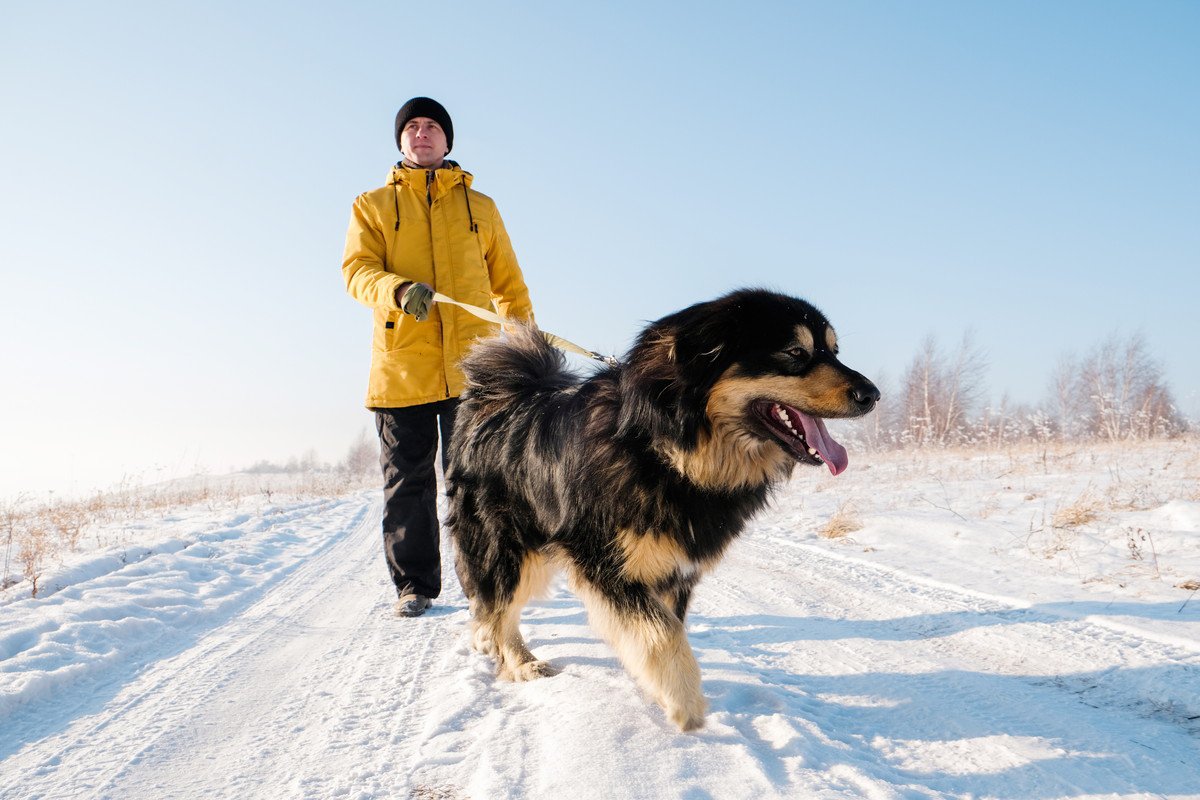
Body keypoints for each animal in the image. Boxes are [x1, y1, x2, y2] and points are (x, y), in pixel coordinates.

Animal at [446, 289, 878, 734]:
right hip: (505, 545)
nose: (872, 395)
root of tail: (502, 396)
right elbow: (661, 632)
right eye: (795, 352)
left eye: (834, 351)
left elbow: (666, 628)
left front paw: (660, 687)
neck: (668, 451)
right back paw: (519, 660)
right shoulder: (605, 562)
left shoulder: (676, 568)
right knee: (499, 603)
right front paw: (685, 704)